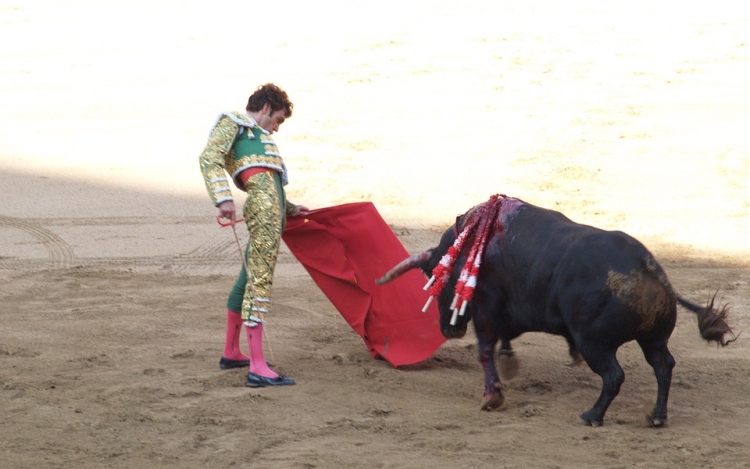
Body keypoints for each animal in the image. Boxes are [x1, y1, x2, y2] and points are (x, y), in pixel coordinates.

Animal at [376, 196, 736, 426]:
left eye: (437, 277)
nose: (449, 329)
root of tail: (648, 268)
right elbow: (504, 341)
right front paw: (509, 363)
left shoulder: (486, 308)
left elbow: (484, 350)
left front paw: (492, 396)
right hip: (653, 339)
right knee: (663, 366)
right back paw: (656, 417)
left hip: (596, 344)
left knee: (614, 376)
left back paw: (592, 416)